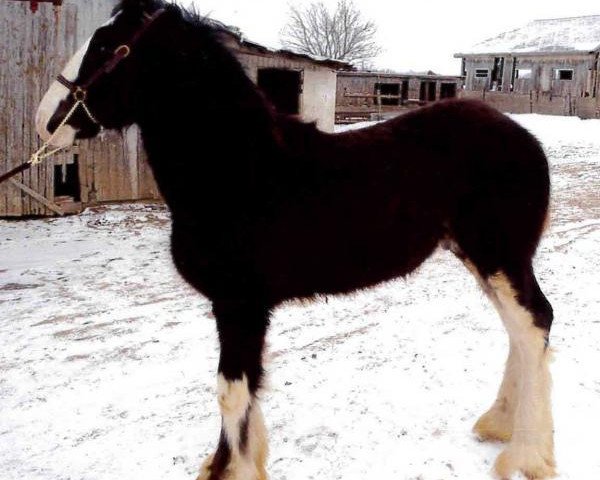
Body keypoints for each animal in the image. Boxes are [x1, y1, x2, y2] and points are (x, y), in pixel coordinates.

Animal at [35, 0, 556, 480]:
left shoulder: (240, 303)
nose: (46, 121)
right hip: (480, 256)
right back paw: (499, 424)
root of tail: (525, 139)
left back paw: (527, 456)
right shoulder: (238, 307)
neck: (240, 173)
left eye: (107, 46)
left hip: (499, 255)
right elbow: (243, 392)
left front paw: (234, 470)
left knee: (533, 324)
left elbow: (231, 392)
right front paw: (223, 463)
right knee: (521, 329)